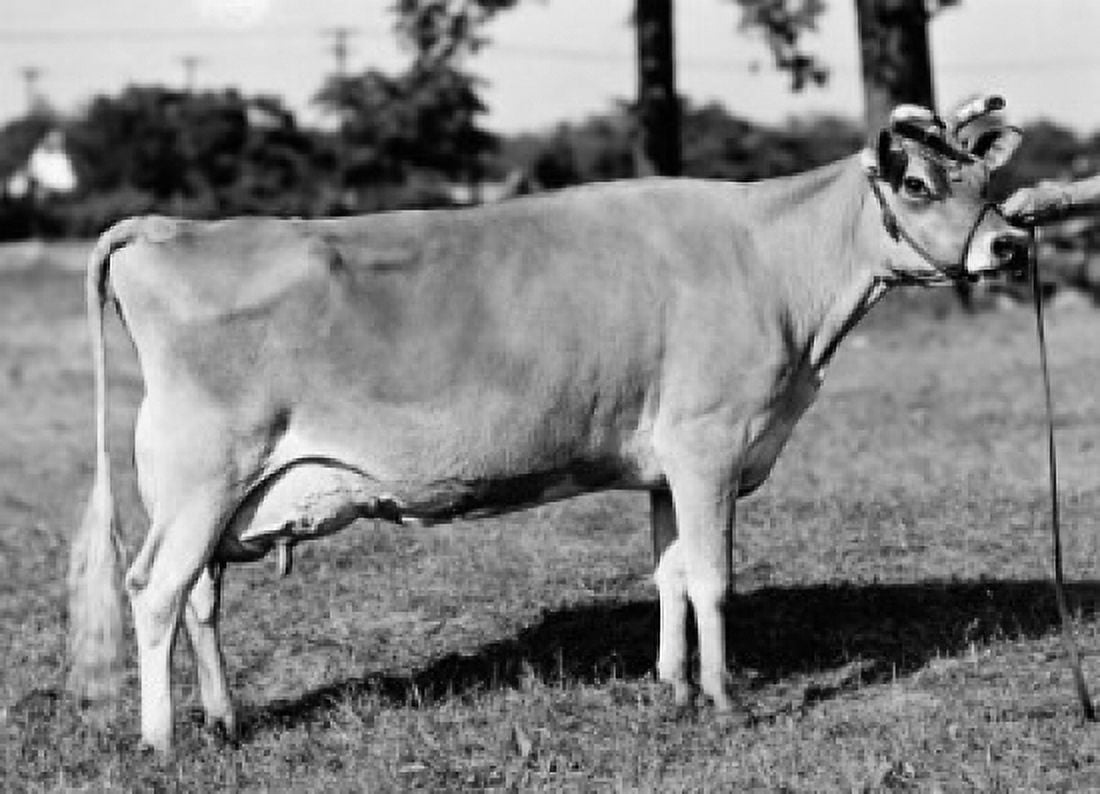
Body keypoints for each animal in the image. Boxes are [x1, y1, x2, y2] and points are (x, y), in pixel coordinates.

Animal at [67, 96, 1027, 752]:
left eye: (987, 181)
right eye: (917, 184)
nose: (1010, 246)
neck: (773, 266)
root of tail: (172, 229)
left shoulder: (665, 465)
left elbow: (671, 576)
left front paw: (674, 688)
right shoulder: (710, 446)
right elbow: (715, 580)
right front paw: (725, 699)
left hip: (221, 493)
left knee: (199, 598)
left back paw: (224, 718)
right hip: (201, 476)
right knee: (155, 591)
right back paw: (162, 738)